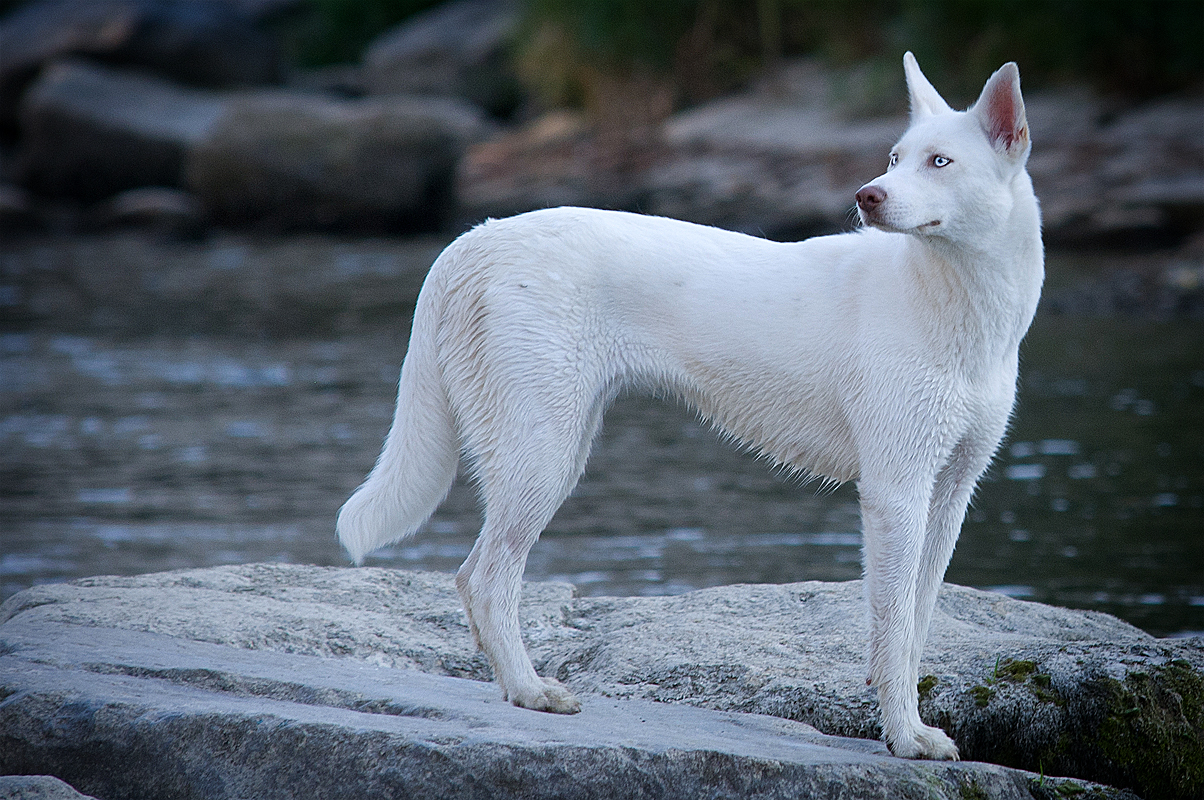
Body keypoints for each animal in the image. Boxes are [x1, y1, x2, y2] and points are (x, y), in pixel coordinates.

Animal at [339, 53, 1045, 761]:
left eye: (939, 162)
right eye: (897, 158)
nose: (866, 196)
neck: (951, 303)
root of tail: (472, 242)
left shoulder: (949, 493)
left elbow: (916, 621)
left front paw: (907, 721)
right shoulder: (896, 492)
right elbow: (895, 626)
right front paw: (905, 735)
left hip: (555, 448)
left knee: (474, 579)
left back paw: (515, 689)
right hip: (541, 454)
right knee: (485, 581)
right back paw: (533, 691)